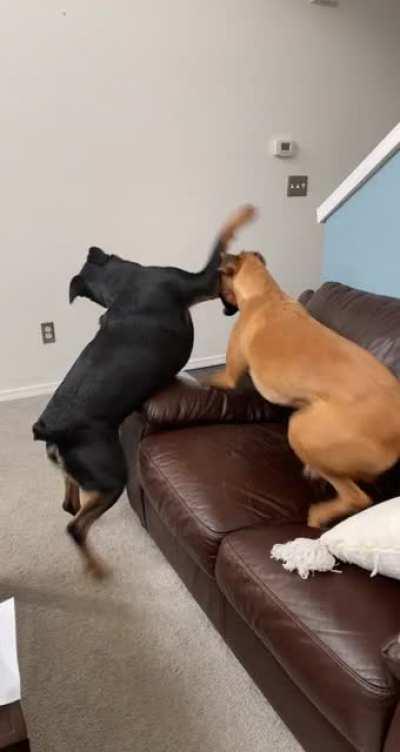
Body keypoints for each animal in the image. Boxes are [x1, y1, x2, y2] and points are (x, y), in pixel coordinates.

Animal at [32, 206, 255, 577]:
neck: (122, 284)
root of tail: (51, 431)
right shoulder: (199, 281)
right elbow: (221, 240)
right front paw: (245, 214)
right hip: (111, 477)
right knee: (75, 527)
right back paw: (97, 569)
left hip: (82, 473)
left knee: (69, 502)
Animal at [210, 249, 400, 529]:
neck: (265, 294)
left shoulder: (229, 377)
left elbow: (212, 380)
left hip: (300, 429)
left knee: (356, 497)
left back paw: (319, 513)